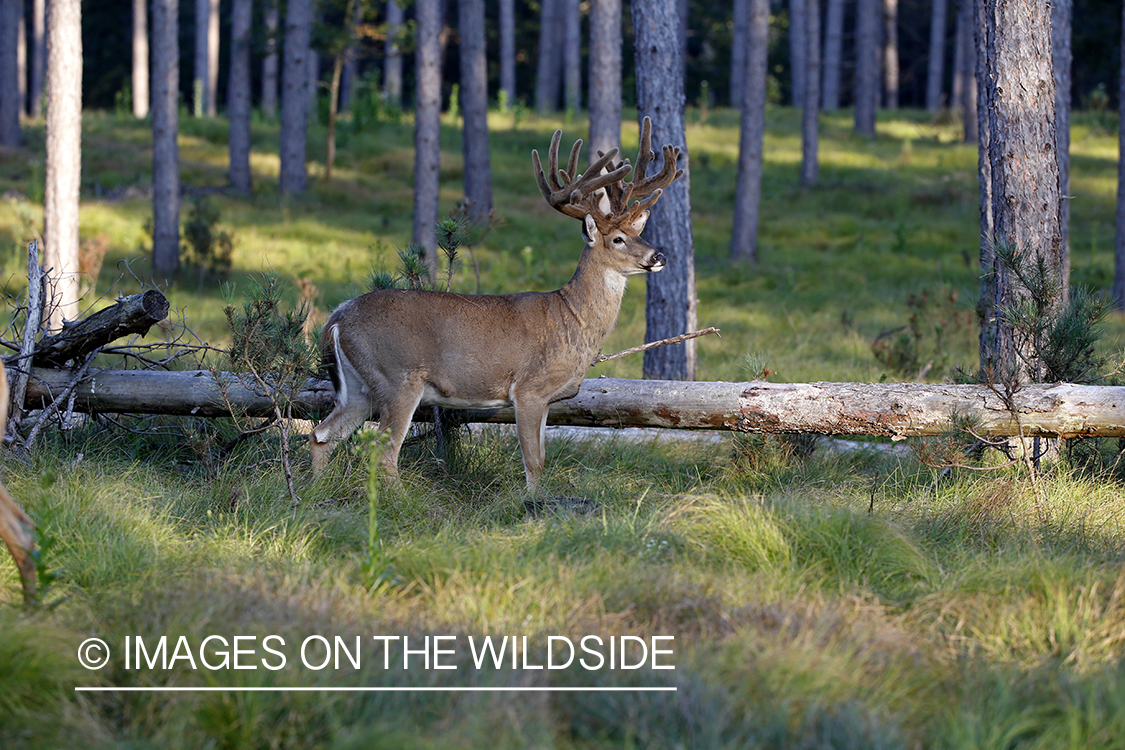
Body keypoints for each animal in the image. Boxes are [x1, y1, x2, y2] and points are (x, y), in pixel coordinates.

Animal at [308, 118, 679, 490]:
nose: (659, 256)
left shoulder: (547, 399)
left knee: (322, 435)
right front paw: (532, 500)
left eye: (638, 233)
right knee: (382, 453)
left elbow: (541, 458)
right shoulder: (529, 388)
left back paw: (317, 492)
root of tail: (336, 319)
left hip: (360, 386)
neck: (572, 318)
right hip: (397, 378)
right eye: (617, 239)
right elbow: (534, 462)